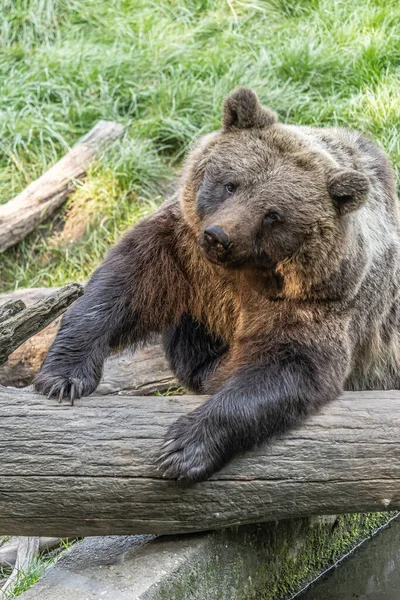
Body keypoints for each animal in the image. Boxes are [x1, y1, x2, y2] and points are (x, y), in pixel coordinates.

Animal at [33, 88, 400, 482]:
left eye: (273, 214)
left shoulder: (315, 302)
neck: (242, 274)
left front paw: (183, 447)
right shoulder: (181, 249)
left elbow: (288, 367)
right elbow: (121, 288)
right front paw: (62, 377)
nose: (218, 237)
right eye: (231, 184)